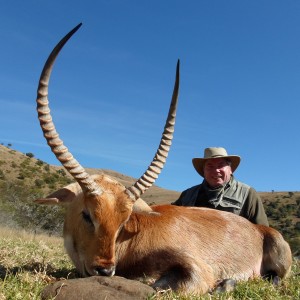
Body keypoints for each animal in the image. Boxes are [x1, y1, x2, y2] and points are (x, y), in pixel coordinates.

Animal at [34, 24, 290, 296]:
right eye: (86, 214)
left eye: (123, 221)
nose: (104, 270)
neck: (132, 236)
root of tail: (259, 229)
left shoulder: (197, 271)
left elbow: (164, 287)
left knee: (274, 278)